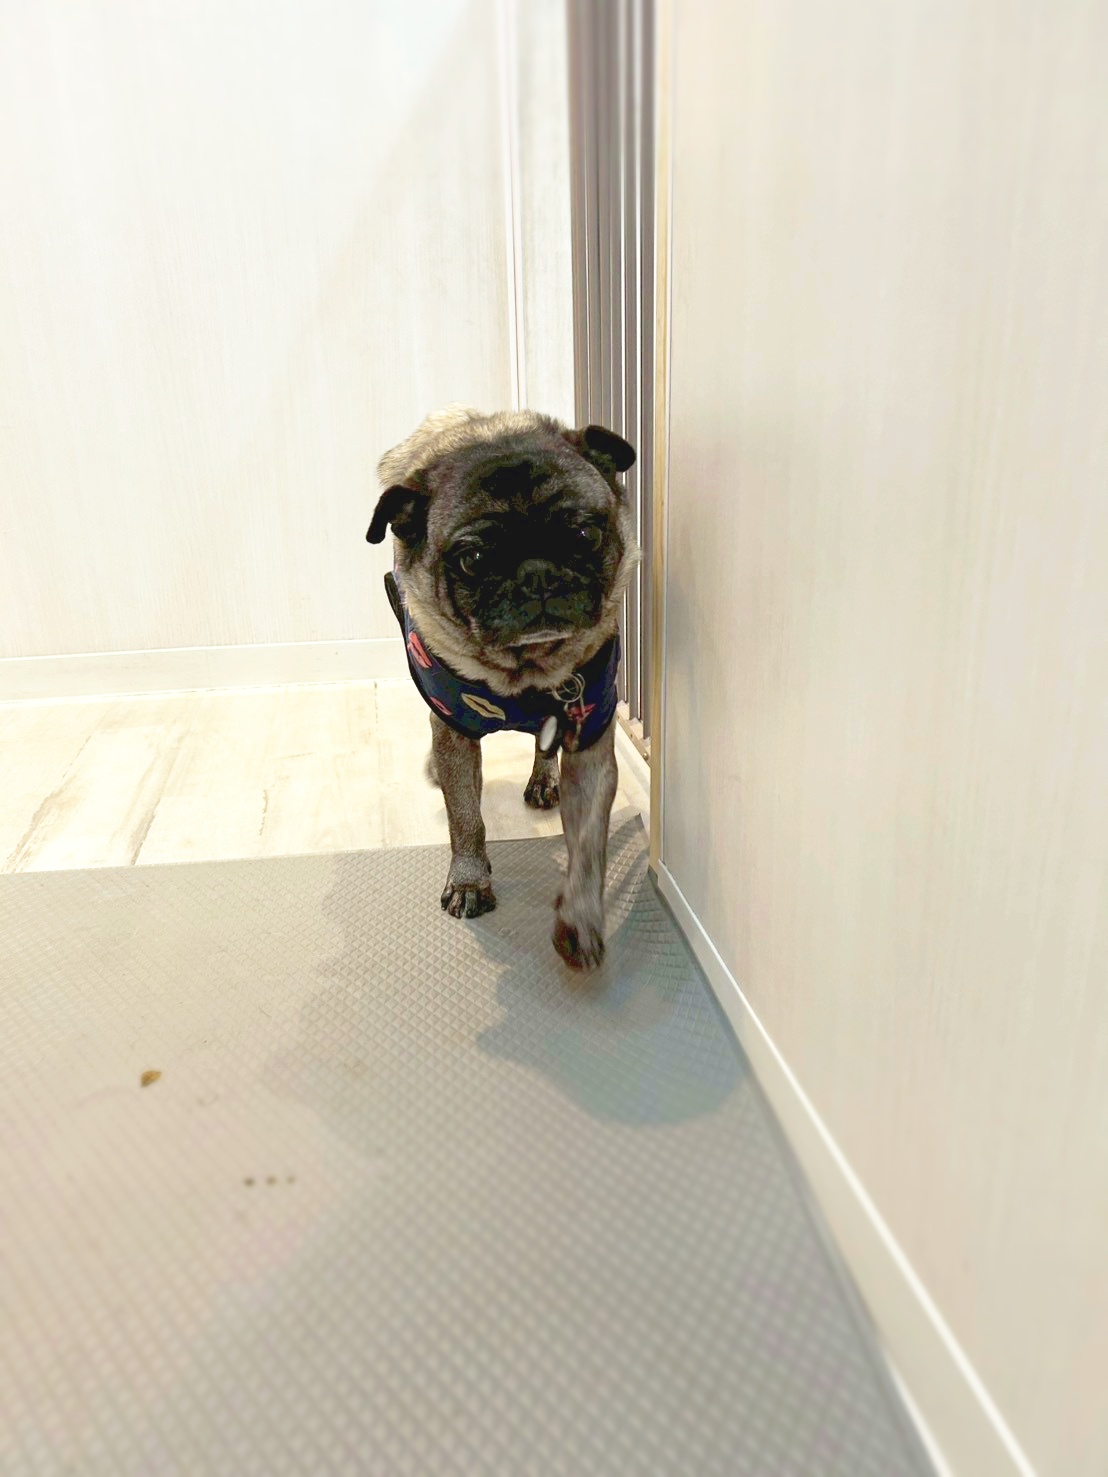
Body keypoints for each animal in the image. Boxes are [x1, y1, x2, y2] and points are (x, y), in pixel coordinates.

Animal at [367, 405, 637, 969]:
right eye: (472, 559)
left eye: (584, 535)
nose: (537, 574)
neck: (527, 673)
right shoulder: (454, 729)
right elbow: (465, 816)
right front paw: (470, 880)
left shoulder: (590, 744)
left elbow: (587, 847)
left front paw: (580, 918)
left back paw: (543, 778)